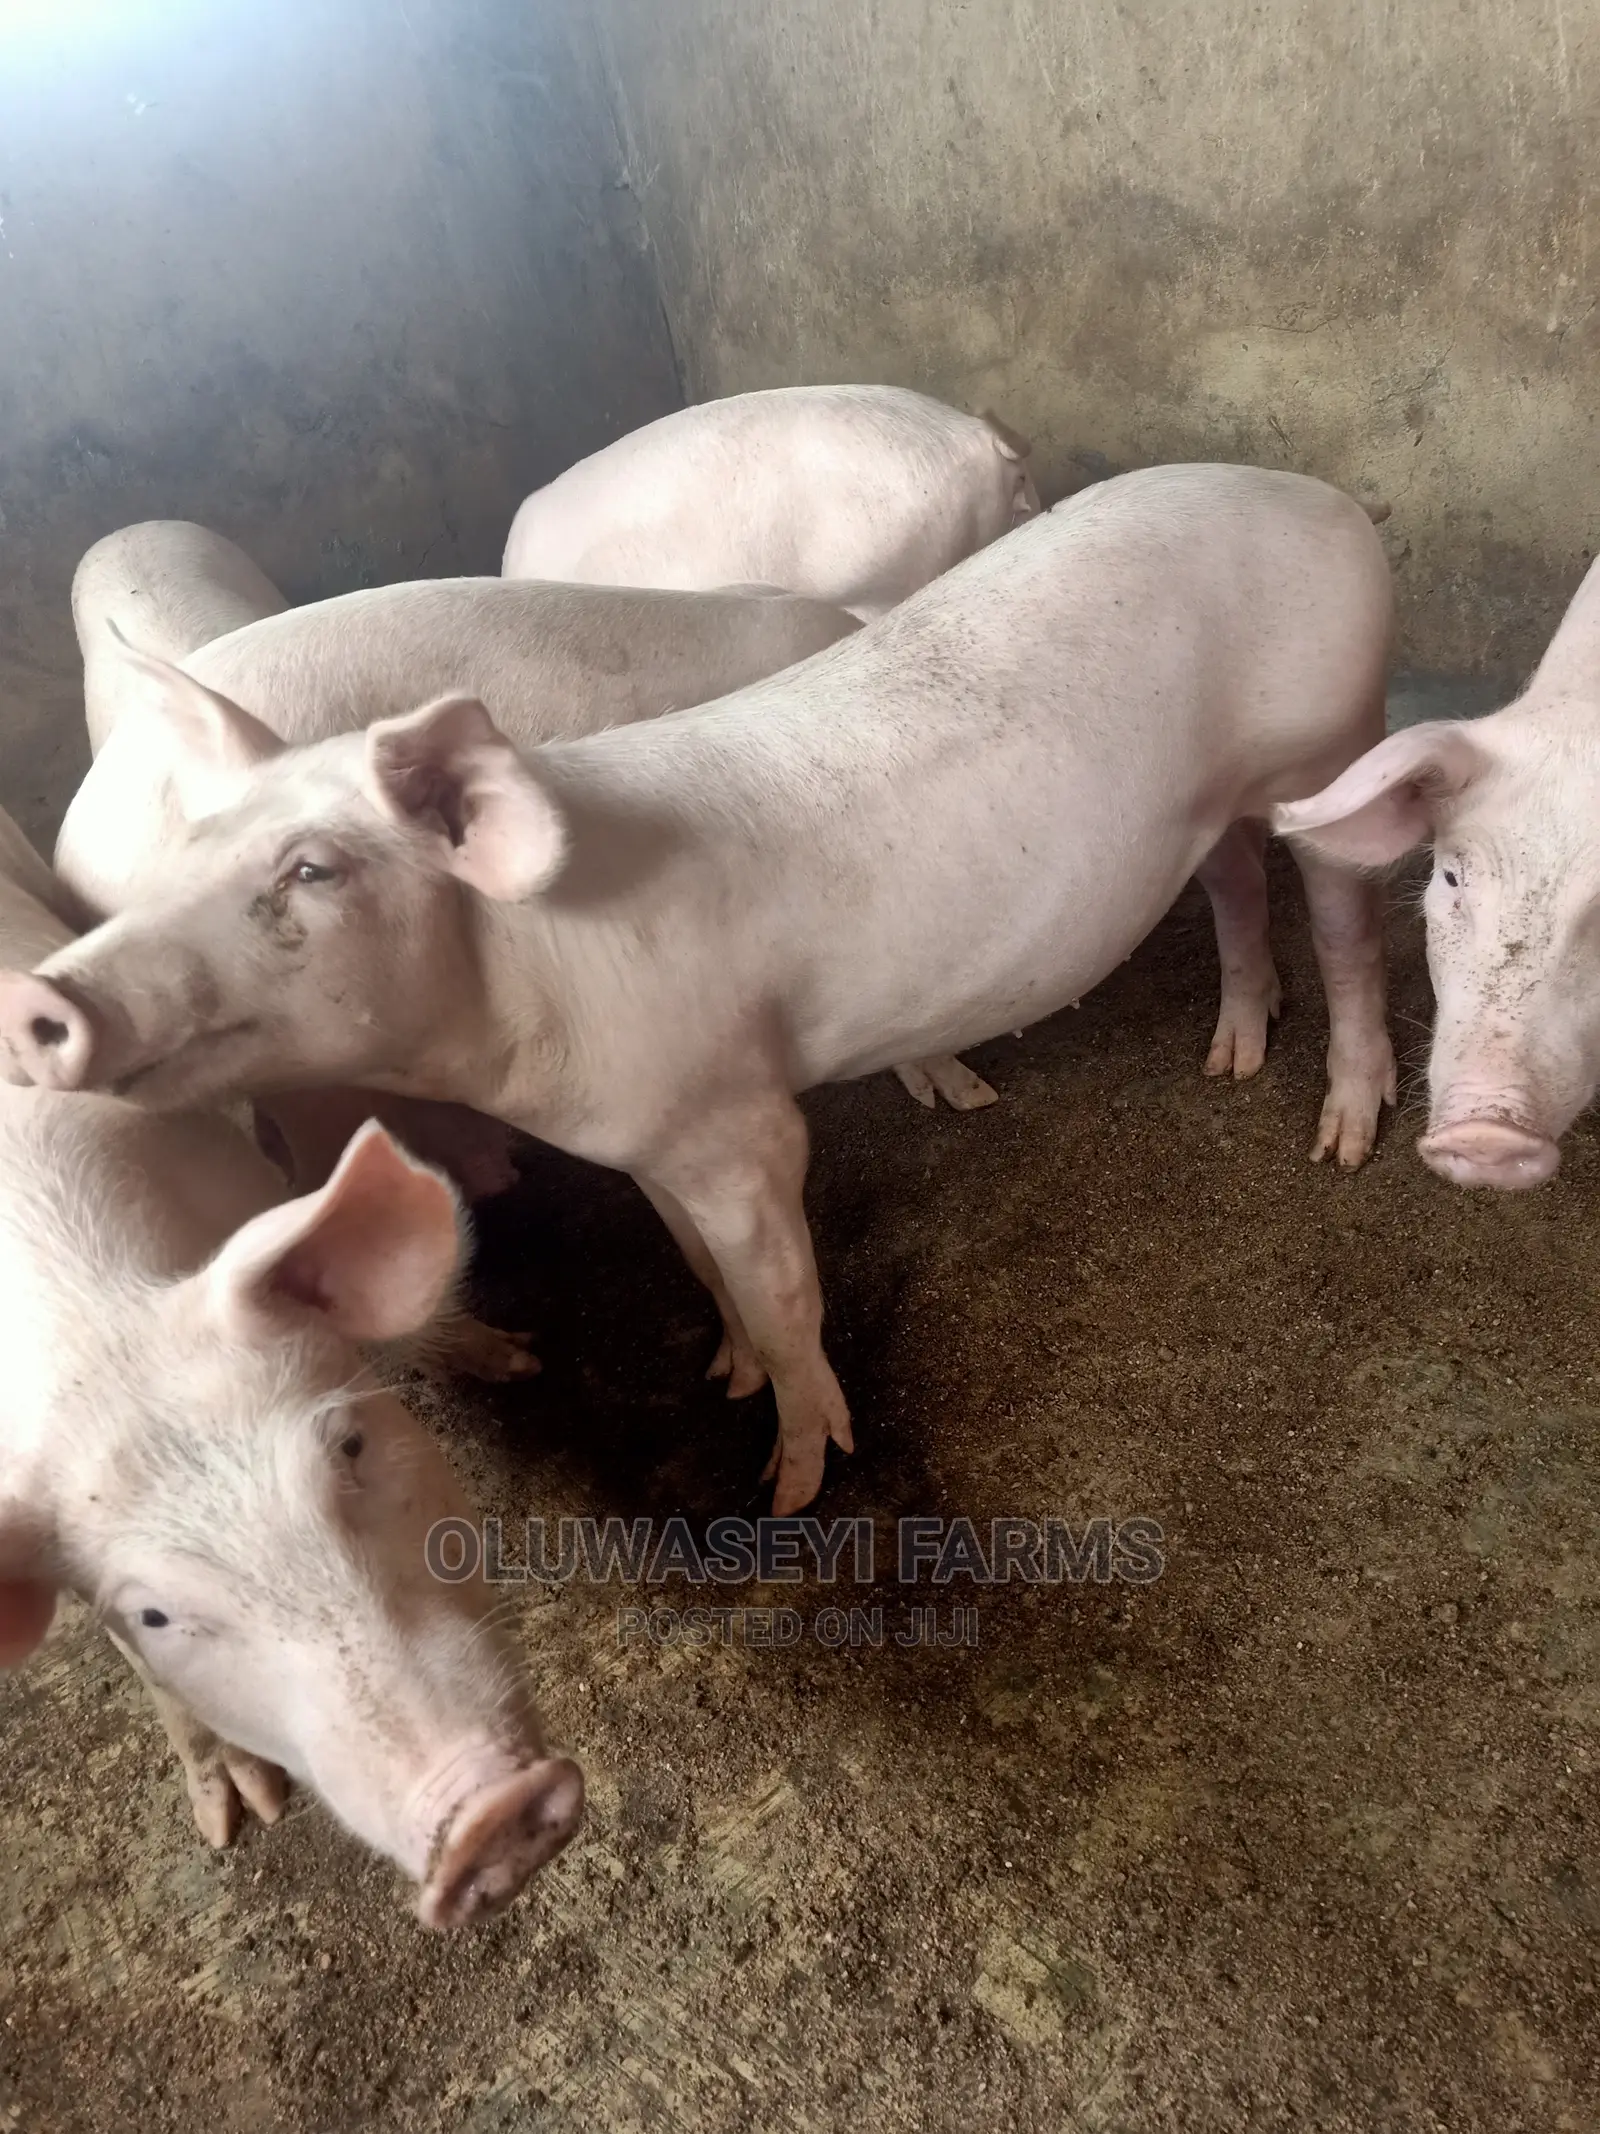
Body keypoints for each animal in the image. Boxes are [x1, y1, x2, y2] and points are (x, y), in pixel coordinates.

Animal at [0, 807, 582, 1923]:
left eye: (350, 1445)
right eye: (154, 1611)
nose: (490, 1821)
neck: (94, 1330)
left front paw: (511, 1362)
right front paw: (238, 1820)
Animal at [1, 464, 1398, 1515]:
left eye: (310, 869)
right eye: (193, 851)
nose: (42, 997)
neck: (525, 1000)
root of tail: (1324, 498)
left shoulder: (740, 1122)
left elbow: (785, 1293)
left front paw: (790, 1486)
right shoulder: (648, 1130)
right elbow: (696, 1264)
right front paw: (720, 1373)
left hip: (1331, 737)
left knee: (1347, 923)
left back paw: (1340, 1136)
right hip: (1208, 802)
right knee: (1231, 876)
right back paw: (1231, 1053)